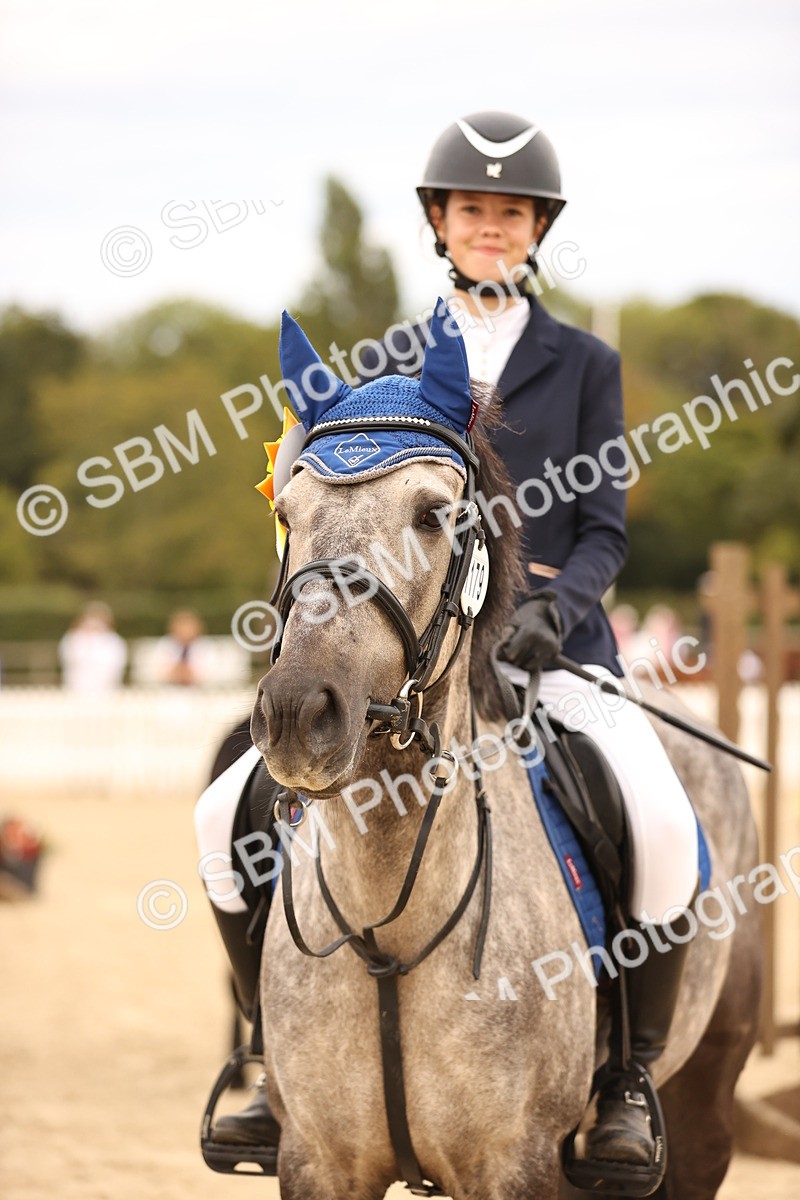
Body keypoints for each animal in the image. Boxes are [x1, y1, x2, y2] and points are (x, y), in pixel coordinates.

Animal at [247, 306, 762, 1200]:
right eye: (287, 512)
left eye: (433, 516)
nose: (296, 713)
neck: (390, 931)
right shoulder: (315, 1161)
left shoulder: (517, 1165)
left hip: (707, 1093)